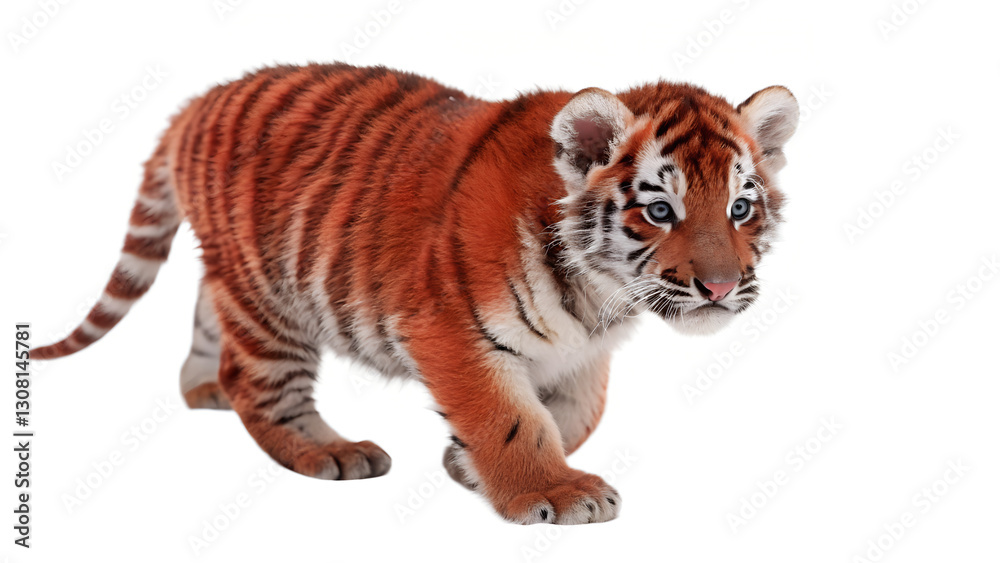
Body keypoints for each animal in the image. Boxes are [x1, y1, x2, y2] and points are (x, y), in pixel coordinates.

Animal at [33, 62, 797, 525]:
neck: (599, 292)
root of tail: (200, 99)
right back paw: (328, 451)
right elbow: (509, 415)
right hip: (271, 296)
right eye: (661, 211)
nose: (720, 286)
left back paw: (204, 391)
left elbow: (575, 414)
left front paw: (468, 464)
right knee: (258, 382)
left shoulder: (583, 355)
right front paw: (550, 491)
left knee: (205, 322)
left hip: (234, 278)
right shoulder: (450, 329)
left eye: (740, 209)